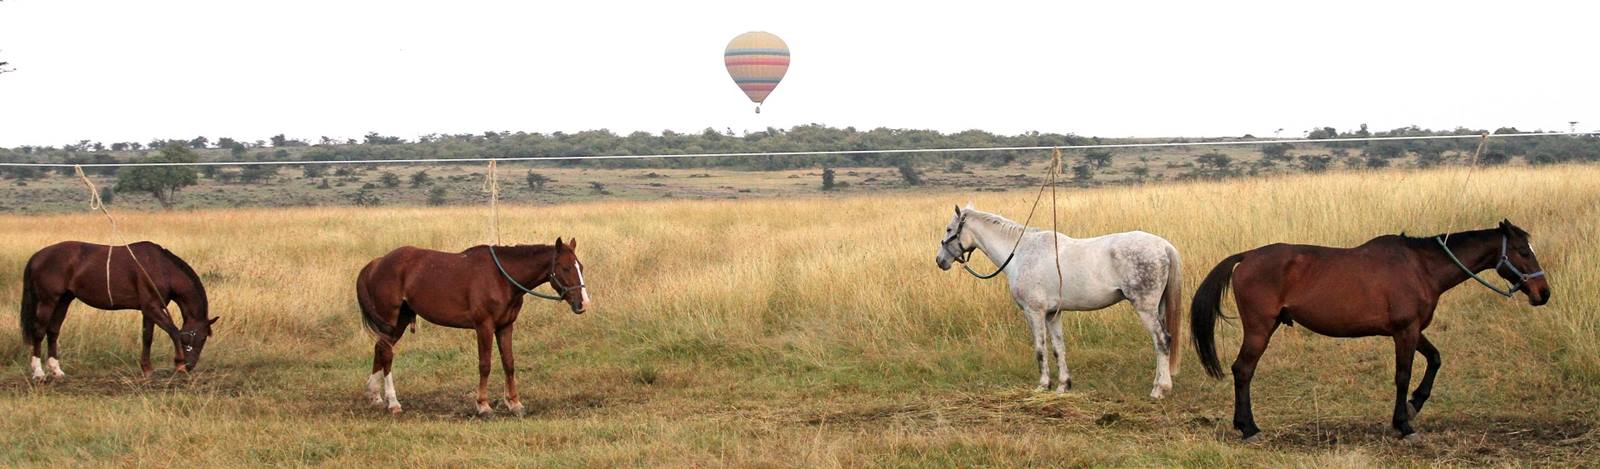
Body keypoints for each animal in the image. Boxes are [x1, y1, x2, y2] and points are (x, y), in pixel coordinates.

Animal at [19, 241, 219, 380]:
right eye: (202, 338)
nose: (190, 365)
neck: (161, 268)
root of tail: (38, 256)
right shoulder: (152, 307)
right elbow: (174, 331)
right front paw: (178, 364)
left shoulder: (149, 309)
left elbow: (147, 337)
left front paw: (147, 368)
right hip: (48, 301)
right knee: (39, 332)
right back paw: (38, 372)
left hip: (63, 301)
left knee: (53, 331)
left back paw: (56, 370)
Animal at [356, 238, 590, 416]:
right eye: (565, 268)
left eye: (581, 267)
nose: (583, 303)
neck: (501, 278)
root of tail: (377, 263)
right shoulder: (484, 326)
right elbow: (485, 365)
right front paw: (483, 405)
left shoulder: (505, 326)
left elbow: (509, 363)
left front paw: (514, 403)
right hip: (390, 319)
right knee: (387, 353)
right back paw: (393, 402)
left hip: (400, 320)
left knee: (380, 349)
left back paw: (374, 395)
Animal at [935, 203, 1184, 398]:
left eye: (949, 229)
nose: (940, 260)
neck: (1021, 252)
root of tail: (1164, 246)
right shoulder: (1052, 314)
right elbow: (1058, 348)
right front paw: (1064, 385)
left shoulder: (1034, 312)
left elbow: (1040, 349)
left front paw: (1043, 385)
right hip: (1158, 308)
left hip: (1145, 308)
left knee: (1162, 340)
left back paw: (1159, 390)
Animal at [1191, 220, 1550, 441]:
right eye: (1523, 251)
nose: (1543, 293)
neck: (1421, 267)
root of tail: (1248, 256)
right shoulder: (1405, 332)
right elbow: (1403, 375)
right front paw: (1403, 423)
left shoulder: (1413, 330)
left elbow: (1435, 359)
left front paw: (1414, 405)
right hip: (1259, 329)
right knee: (1243, 370)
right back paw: (1248, 427)